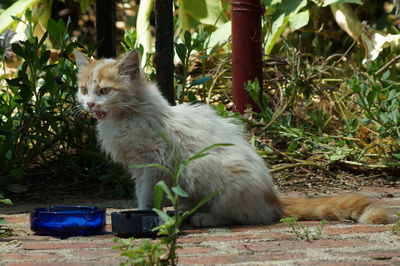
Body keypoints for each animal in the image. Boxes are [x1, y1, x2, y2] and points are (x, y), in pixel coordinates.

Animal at [72, 48, 390, 225]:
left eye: (104, 91)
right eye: (84, 89)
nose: (90, 104)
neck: (126, 115)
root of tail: (274, 198)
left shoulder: (153, 165)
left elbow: (148, 198)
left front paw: (147, 217)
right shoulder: (139, 169)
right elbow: (142, 196)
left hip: (202, 166)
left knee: (249, 216)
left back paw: (204, 218)